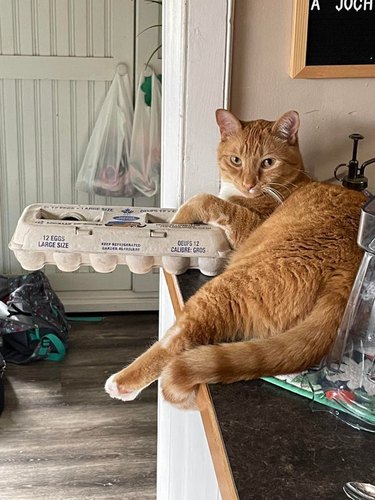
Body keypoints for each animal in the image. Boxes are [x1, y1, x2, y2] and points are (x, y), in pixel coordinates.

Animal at [105, 109, 368, 410]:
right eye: (236, 160)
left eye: (268, 162)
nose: (249, 184)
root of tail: (347, 273)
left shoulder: (248, 225)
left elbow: (205, 200)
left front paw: (177, 218)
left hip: (222, 291)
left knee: (179, 338)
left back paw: (123, 383)